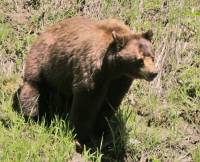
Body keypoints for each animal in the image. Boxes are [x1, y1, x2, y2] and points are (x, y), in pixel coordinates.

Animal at [16, 16, 158, 144]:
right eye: (140, 60)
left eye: (152, 57)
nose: (154, 73)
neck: (114, 68)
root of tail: (43, 32)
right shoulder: (93, 71)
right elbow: (87, 101)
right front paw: (80, 135)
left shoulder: (120, 80)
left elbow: (110, 101)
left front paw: (102, 131)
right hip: (44, 62)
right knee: (33, 87)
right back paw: (31, 115)